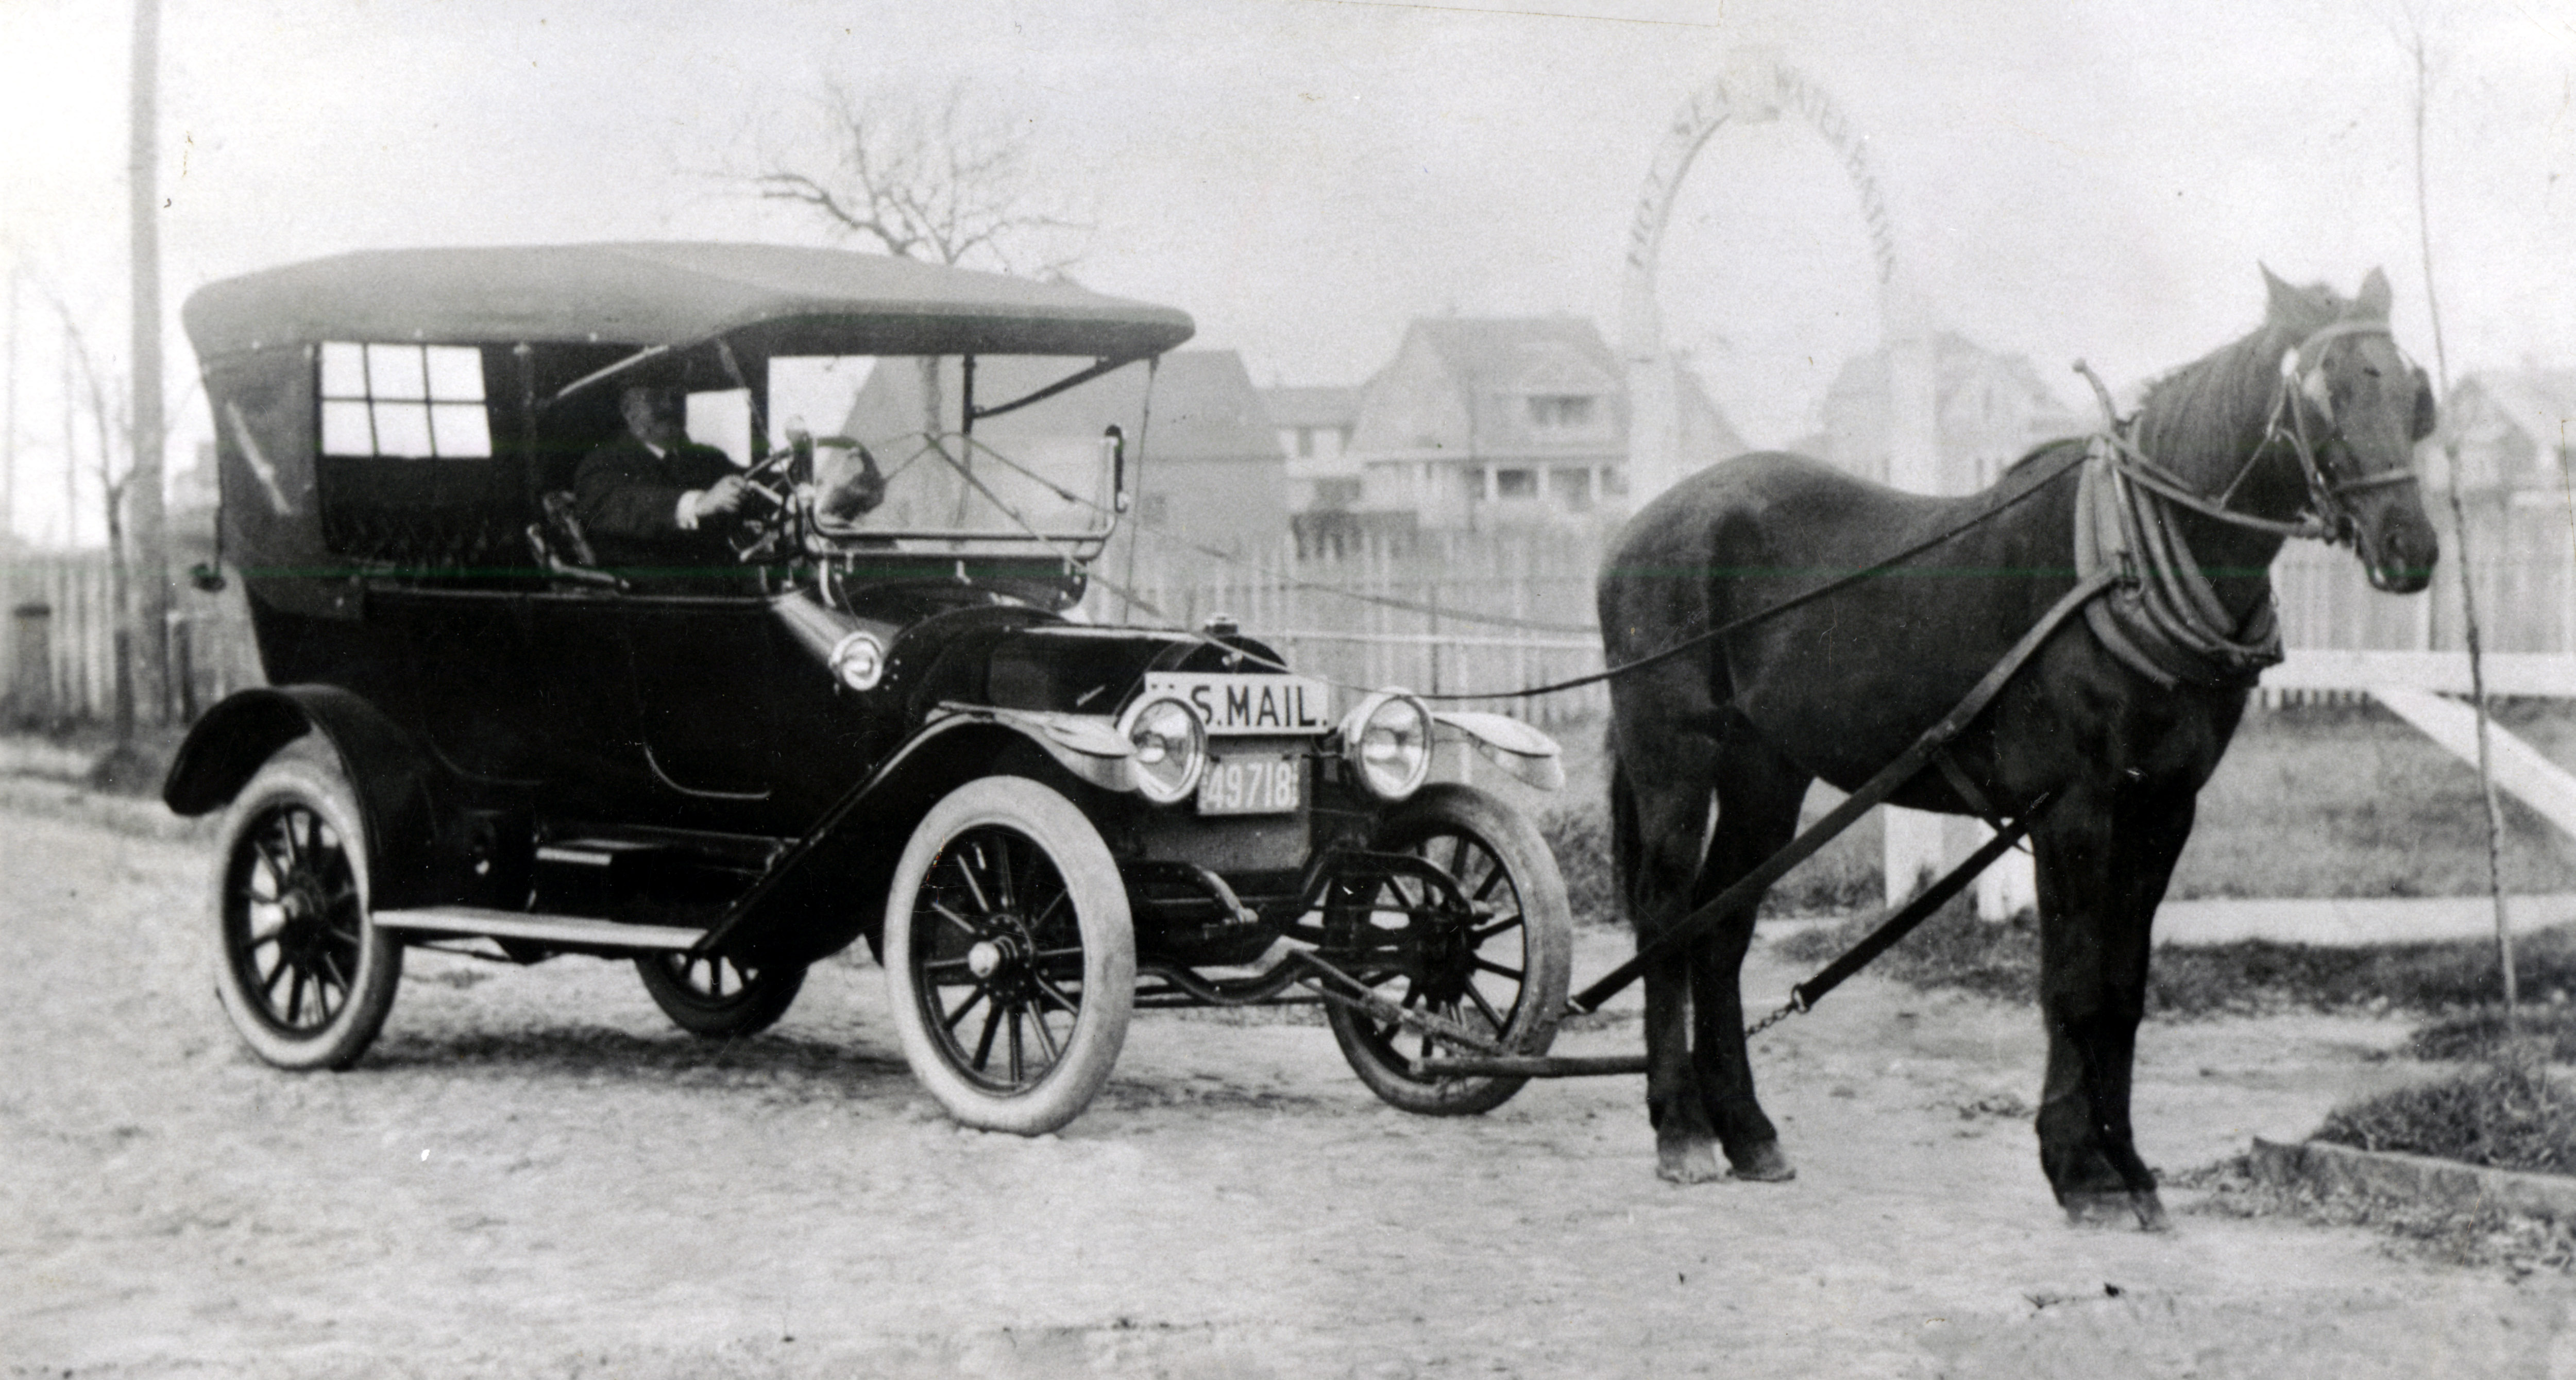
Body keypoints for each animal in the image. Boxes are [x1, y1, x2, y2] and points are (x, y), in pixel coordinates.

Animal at [1598, 267, 2439, 1227]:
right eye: (2327, 392)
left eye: (2411, 393)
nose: (2411, 546)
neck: (2123, 564)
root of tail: (1648, 522)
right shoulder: (2073, 806)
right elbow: (2072, 983)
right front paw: (2079, 1168)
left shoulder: (2163, 806)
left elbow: (2122, 986)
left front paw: (2129, 1163)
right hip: (1675, 756)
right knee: (1666, 913)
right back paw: (1682, 1128)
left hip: (1767, 772)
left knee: (1721, 925)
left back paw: (1747, 1130)